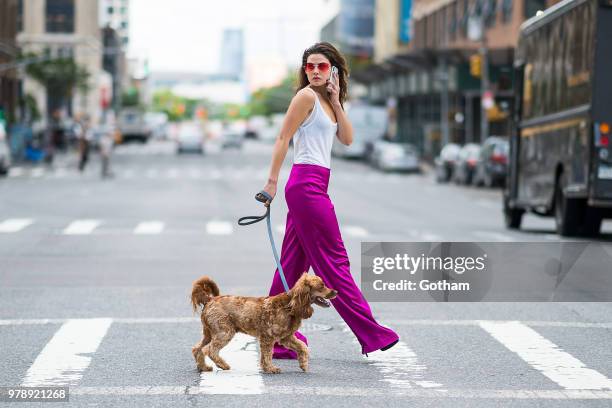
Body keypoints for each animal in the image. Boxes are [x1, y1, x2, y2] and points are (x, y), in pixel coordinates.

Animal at [190, 272, 338, 374]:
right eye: (321, 286)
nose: (336, 291)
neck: (290, 305)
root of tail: (209, 300)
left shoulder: (286, 337)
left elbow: (302, 347)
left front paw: (303, 364)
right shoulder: (268, 337)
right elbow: (267, 354)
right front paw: (271, 368)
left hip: (209, 333)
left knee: (197, 348)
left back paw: (203, 367)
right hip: (224, 332)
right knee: (210, 350)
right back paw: (223, 365)